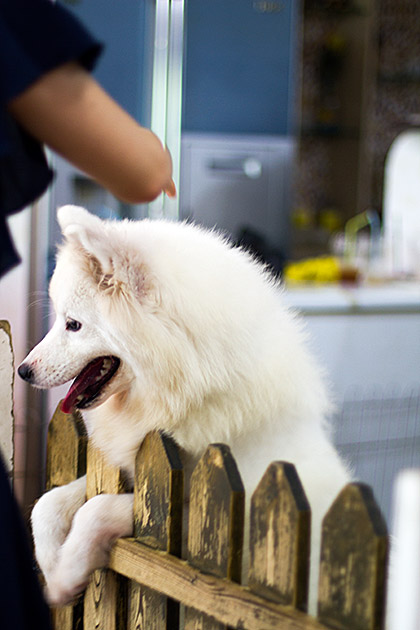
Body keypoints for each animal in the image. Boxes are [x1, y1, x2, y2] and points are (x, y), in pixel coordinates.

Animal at [18, 207, 348, 612]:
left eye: (73, 325)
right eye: (60, 321)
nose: (23, 371)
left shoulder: (224, 524)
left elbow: (96, 510)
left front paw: (68, 574)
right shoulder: (132, 474)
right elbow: (46, 504)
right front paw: (52, 566)